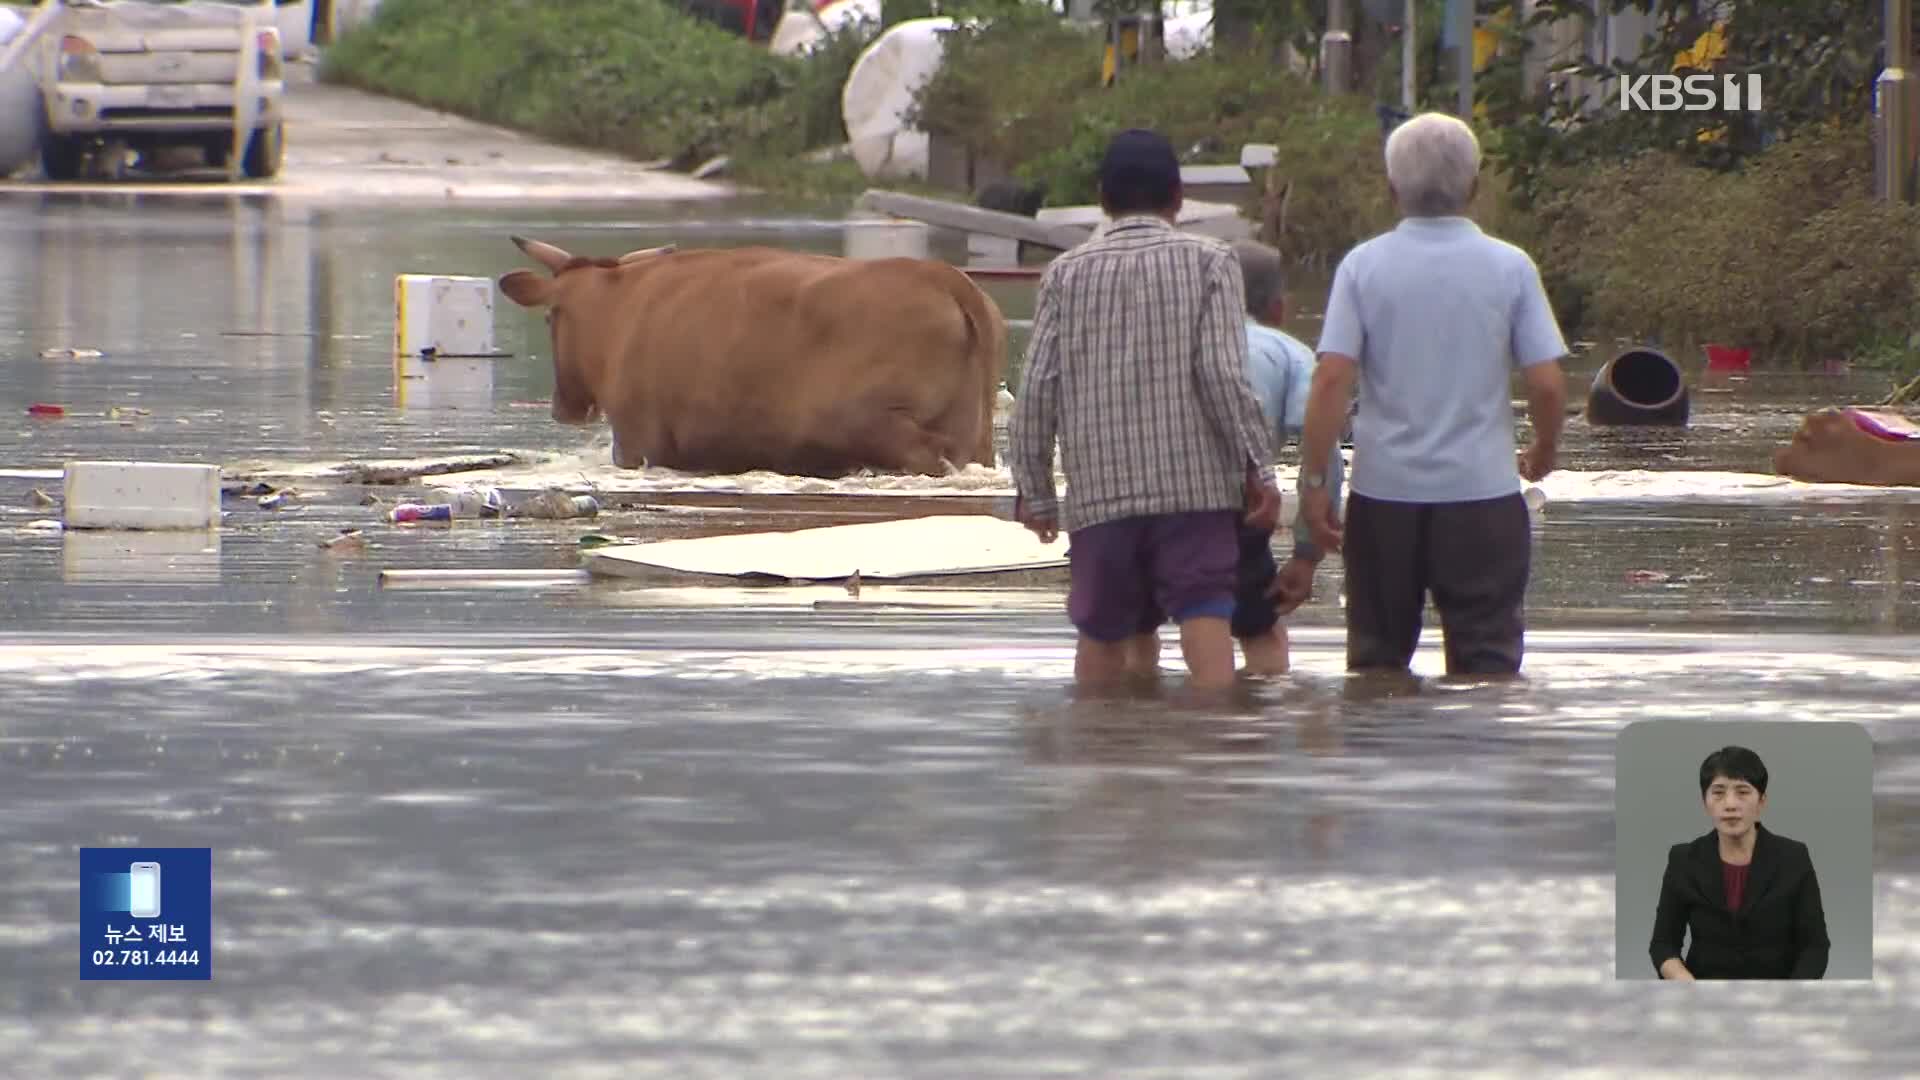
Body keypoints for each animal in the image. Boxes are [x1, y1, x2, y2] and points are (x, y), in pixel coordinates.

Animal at [495, 235, 1006, 474]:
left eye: (549, 319)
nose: (566, 408)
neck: (619, 306)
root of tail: (941, 275)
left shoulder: (638, 440)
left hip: (872, 421)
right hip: (975, 435)